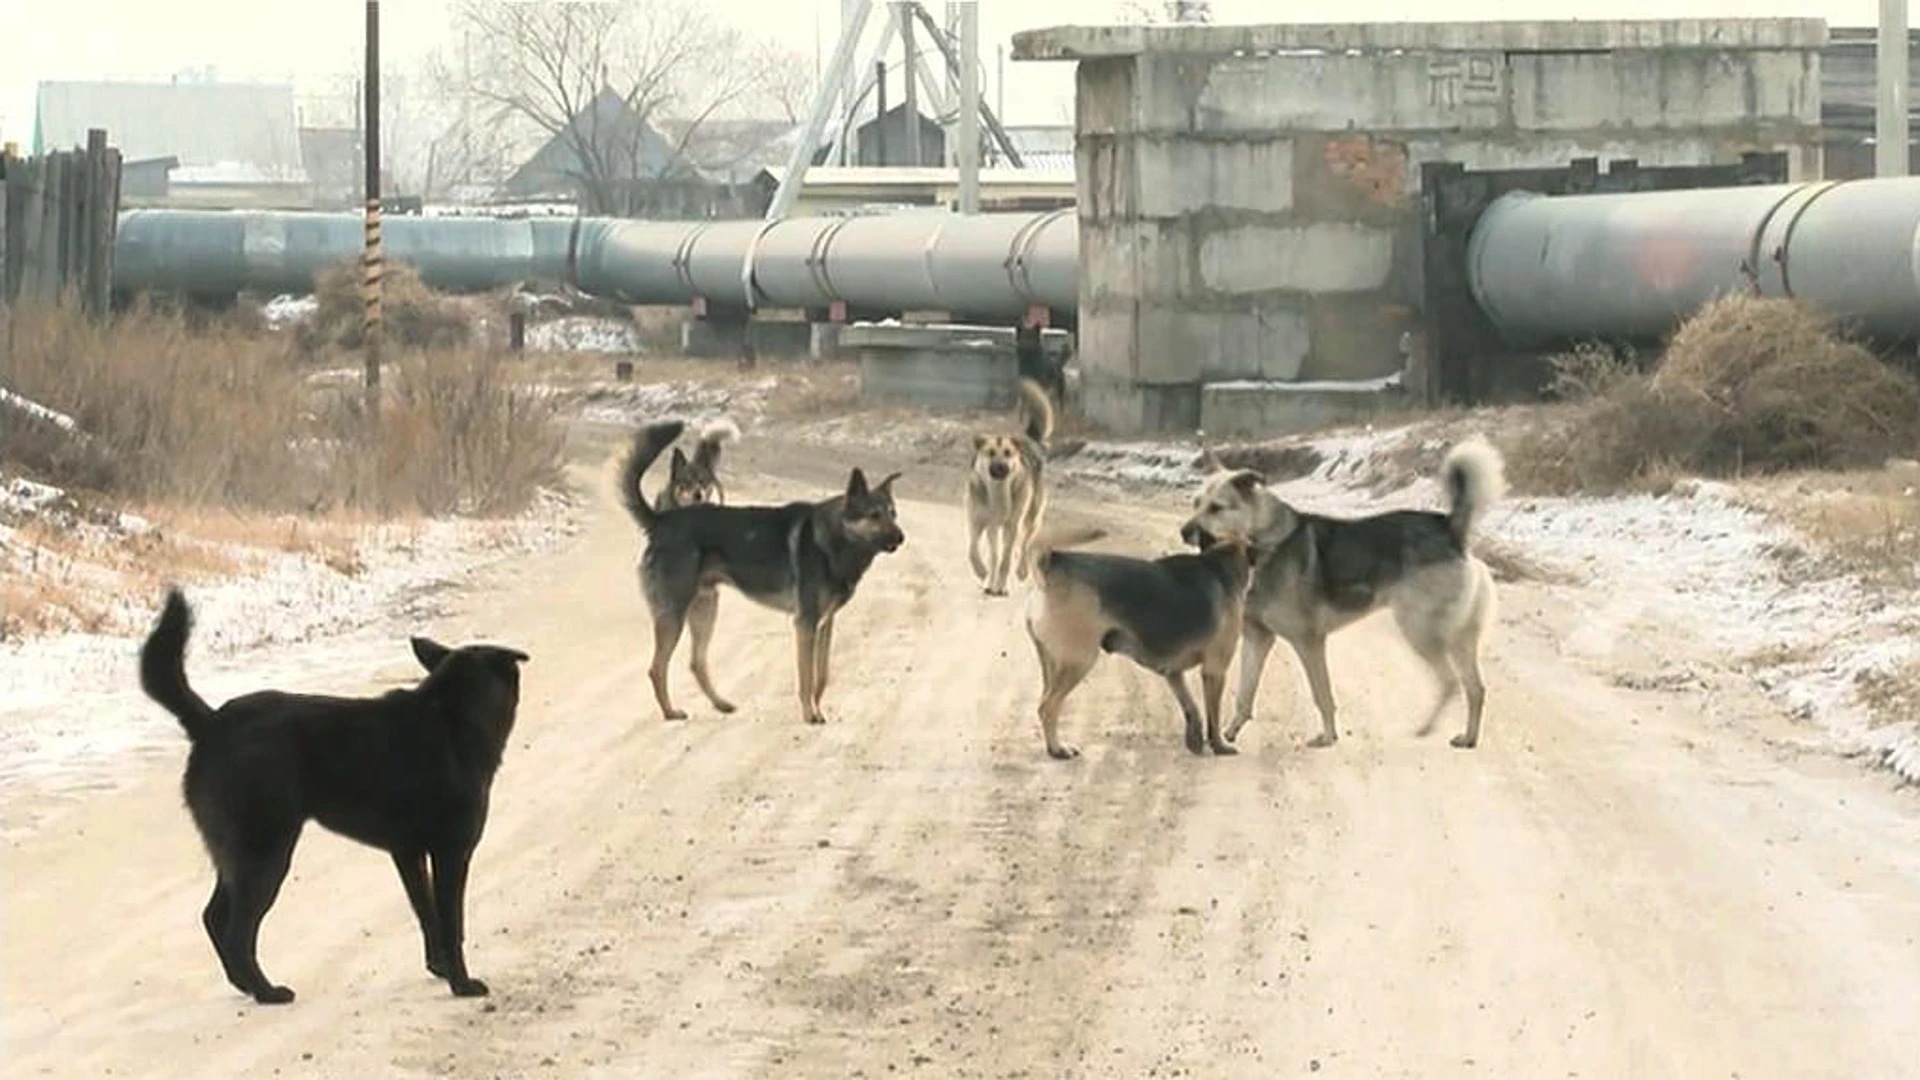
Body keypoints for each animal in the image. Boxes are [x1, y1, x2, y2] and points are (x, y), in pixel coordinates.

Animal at [134, 588, 529, 999]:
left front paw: (438, 966)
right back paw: (267, 992)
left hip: (240, 852)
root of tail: (210, 723)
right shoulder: (451, 852)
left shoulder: (408, 853)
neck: (452, 715)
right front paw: (461, 983)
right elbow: (452, 924)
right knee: (236, 931)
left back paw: (246, 985)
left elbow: (427, 914)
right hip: (265, 853)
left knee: (214, 916)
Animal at [622, 418, 906, 722]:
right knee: (657, 668)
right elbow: (806, 677)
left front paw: (818, 709)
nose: (901, 538)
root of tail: (661, 521)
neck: (835, 538)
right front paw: (810, 714)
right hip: (674, 615)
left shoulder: (825, 624)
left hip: (705, 610)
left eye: (893, 513)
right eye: (874, 515)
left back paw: (721, 704)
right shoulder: (805, 624)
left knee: (696, 663)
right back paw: (670, 712)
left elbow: (822, 676)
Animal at [1175, 432, 1505, 745]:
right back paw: (1468, 738)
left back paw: (1424, 729)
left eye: (1216, 508)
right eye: (1195, 504)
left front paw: (1328, 737)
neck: (1260, 545)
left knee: (1450, 683)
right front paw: (1229, 734)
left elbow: (1322, 695)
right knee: (1475, 688)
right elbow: (1244, 696)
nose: (1184, 532)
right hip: (1457, 637)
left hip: (1420, 629)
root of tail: (1450, 528)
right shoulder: (1257, 638)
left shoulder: (1308, 641)